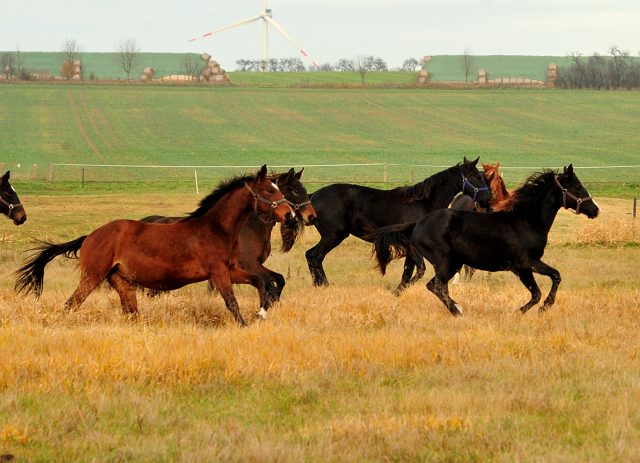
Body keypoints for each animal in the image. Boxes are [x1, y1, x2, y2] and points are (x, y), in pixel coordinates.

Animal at [15, 166, 296, 326]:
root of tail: (89, 237)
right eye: (269, 191)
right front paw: (246, 324)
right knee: (72, 303)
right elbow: (232, 302)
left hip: (121, 281)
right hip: (93, 275)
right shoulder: (218, 272)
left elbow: (261, 282)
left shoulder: (230, 270)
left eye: (278, 189)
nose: (290, 214)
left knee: (131, 313)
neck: (216, 228)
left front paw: (262, 313)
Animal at [139, 169, 316, 320]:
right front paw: (262, 310)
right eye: (295, 190)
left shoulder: (255, 264)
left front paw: (268, 307)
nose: (312, 216)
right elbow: (268, 285)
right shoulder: (249, 264)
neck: (249, 227)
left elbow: (278, 279)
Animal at [304, 158, 490, 292]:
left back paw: (317, 285)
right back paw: (324, 286)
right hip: (333, 235)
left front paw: (399, 291)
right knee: (316, 256)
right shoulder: (412, 245)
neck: (423, 202)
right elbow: (420, 269)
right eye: (478, 177)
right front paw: (399, 290)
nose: (488, 200)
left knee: (309, 255)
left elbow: (407, 271)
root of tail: (313, 197)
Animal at [372, 165, 604, 318]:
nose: (595, 210)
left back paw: (458, 308)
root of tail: (418, 223)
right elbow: (546, 285)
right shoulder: (525, 264)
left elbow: (543, 286)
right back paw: (458, 312)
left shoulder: (525, 266)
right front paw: (534, 309)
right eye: (577, 187)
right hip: (443, 260)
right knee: (439, 287)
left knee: (434, 285)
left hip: (453, 262)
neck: (527, 220)